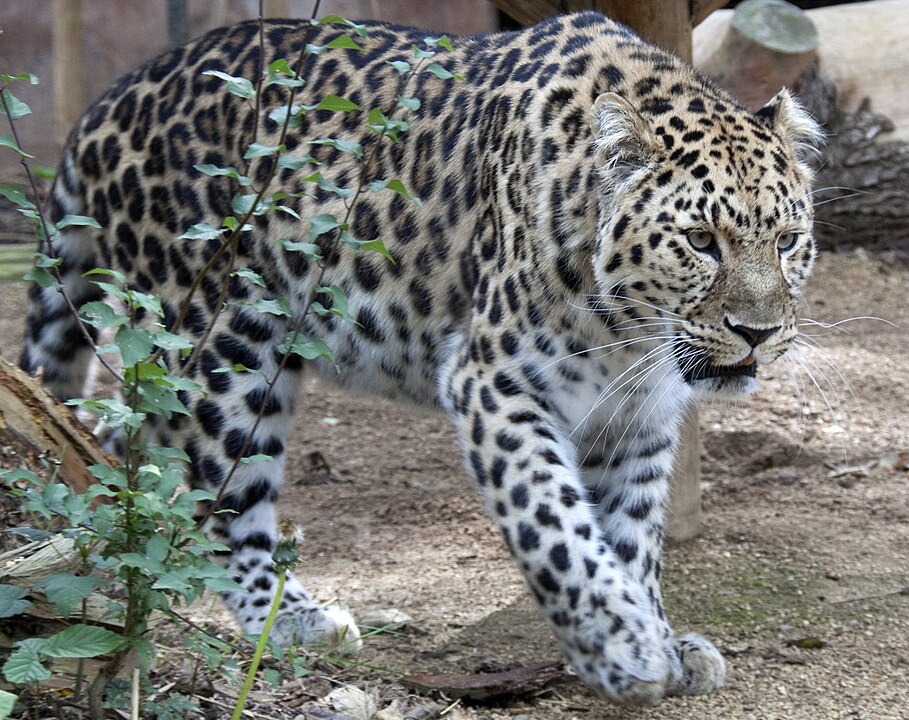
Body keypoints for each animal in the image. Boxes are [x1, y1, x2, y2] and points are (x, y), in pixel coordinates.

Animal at [19, 11, 824, 704]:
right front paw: (621, 641)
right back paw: (291, 619)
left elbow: (629, 536)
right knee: (218, 498)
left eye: (787, 241)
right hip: (221, 343)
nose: (757, 332)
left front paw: (654, 634)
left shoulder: (637, 419)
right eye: (700, 241)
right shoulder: (493, 383)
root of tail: (110, 100)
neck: (631, 335)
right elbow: (557, 526)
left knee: (123, 445)